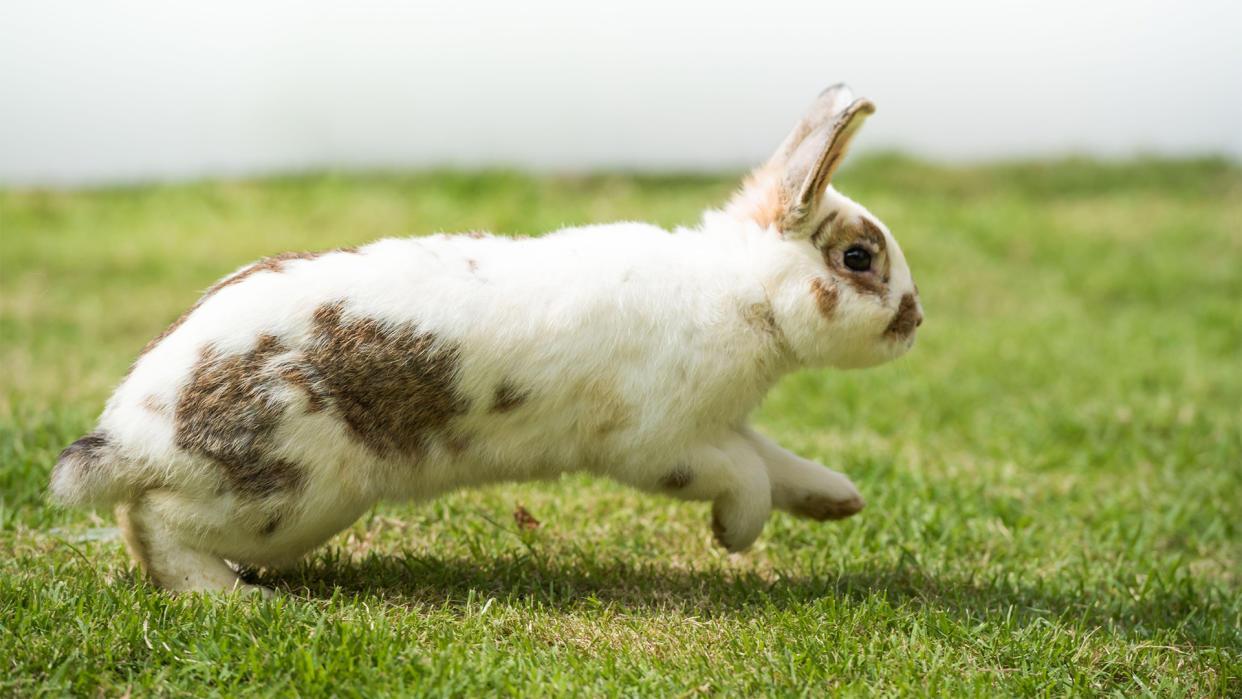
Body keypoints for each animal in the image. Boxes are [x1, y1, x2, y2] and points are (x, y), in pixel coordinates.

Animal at [48, 85, 924, 593]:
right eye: (858, 258)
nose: (915, 320)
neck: (742, 292)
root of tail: (131, 430)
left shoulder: (724, 421)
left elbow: (778, 461)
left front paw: (839, 499)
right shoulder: (663, 444)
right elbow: (745, 476)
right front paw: (733, 535)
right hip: (291, 494)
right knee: (153, 522)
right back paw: (232, 596)